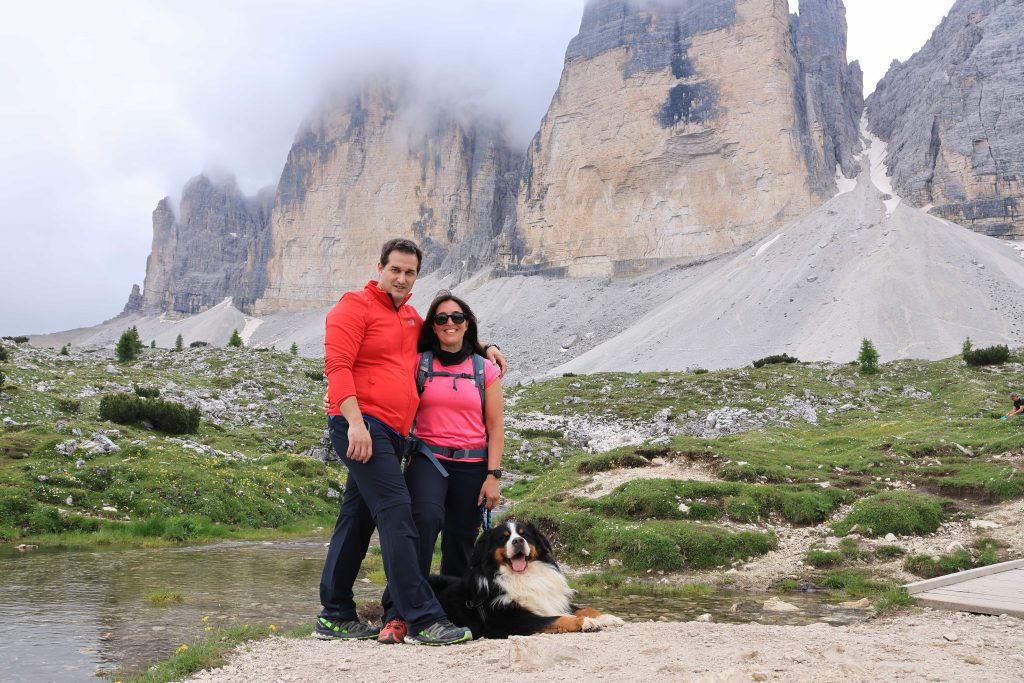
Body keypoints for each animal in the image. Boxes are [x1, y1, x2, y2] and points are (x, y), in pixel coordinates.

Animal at [425, 520, 622, 638]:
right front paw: (587, 622)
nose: (518, 541)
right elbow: (557, 618)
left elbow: (584, 608)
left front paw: (608, 617)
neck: (524, 576)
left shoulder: (552, 600)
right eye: (503, 538)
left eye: (524, 534)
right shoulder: (512, 620)